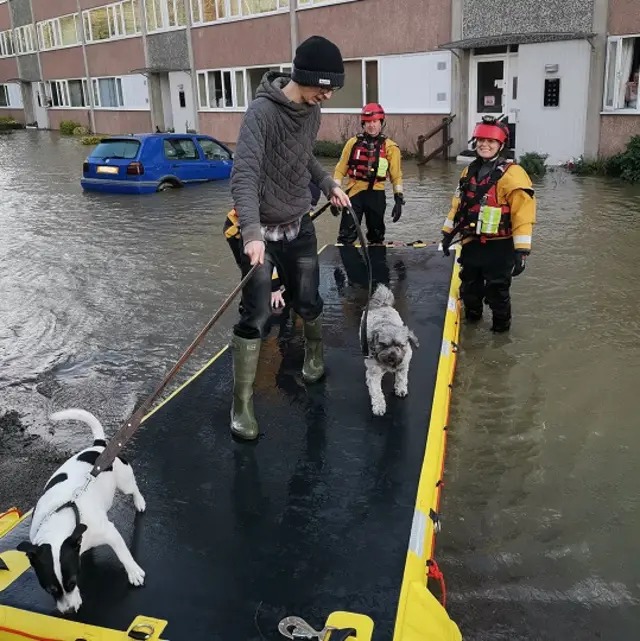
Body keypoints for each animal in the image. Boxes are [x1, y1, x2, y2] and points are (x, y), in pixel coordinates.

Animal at [18, 408, 148, 612]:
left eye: (72, 582)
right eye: (49, 589)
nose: (69, 611)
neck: (59, 519)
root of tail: (98, 446)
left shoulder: (110, 533)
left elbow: (124, 554)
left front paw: (133, 572)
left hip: (125, 481)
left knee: (133, 489)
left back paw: (139, 501)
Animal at [360, 284, 420, 416]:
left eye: (400, 345)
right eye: (383, 345)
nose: (392, 356)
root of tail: (381, 304)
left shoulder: (403, 366)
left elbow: (401, 379)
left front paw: (401, 389)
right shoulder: (375, 373)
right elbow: (376, 391)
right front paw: (379, 406)